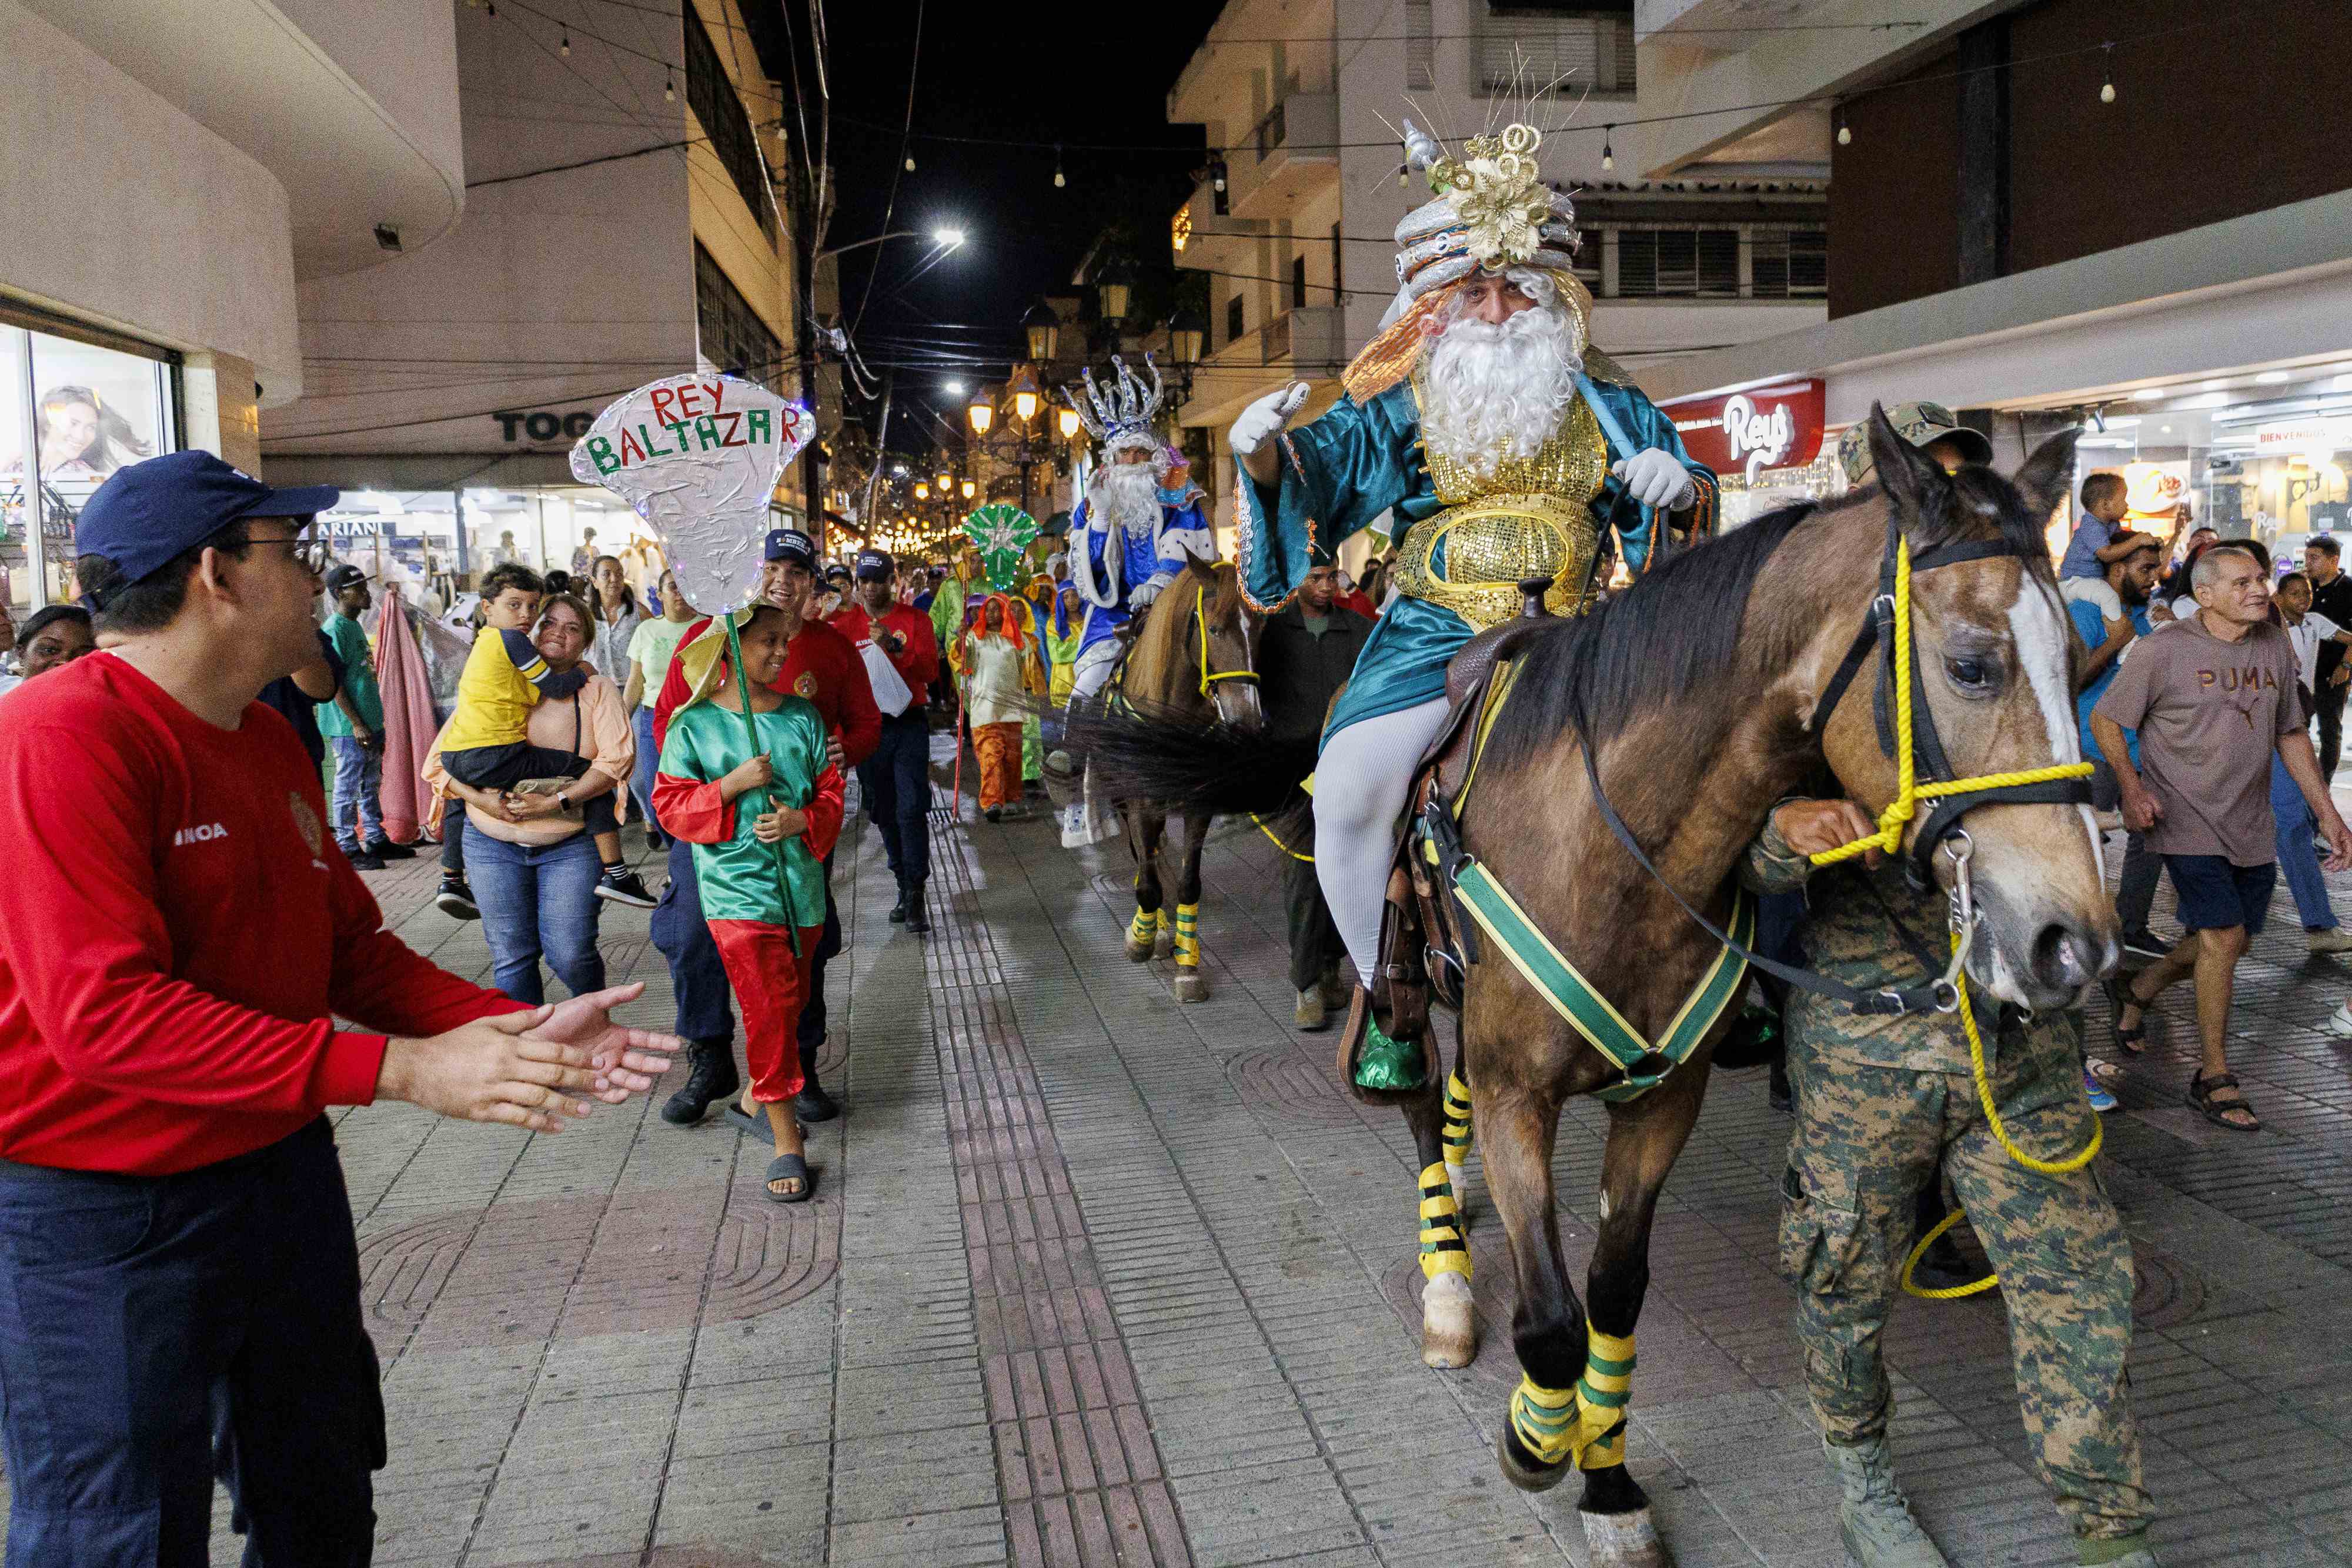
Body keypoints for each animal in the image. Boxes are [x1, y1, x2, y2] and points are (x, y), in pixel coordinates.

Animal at [1082, 416, 2117, 1568]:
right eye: (1973, 666)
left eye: (2078, 662)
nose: (2073, 944)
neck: (1618, 843)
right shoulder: (1519, 1098)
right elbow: (1547, 1318)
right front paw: (1536, 1438)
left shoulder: (1663, 1098)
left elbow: (1615, 1295)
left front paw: (1609, 1478)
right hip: (1406, 993)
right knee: (1419, 1095)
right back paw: (1447, 1276)